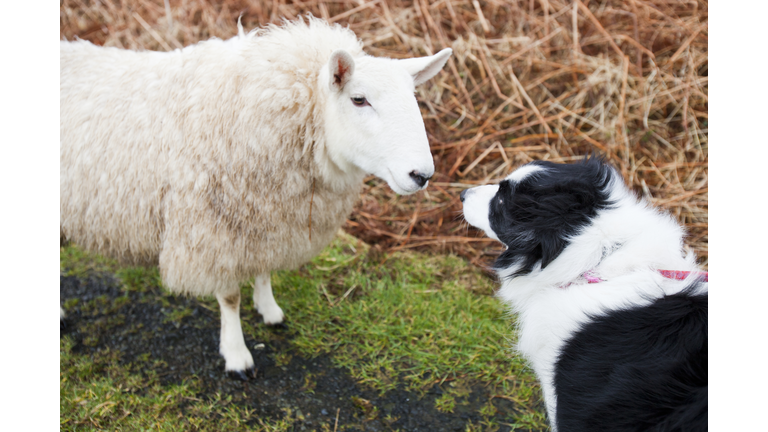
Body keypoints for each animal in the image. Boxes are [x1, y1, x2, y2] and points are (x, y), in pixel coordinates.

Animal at [63, 16, 452, 378]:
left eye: (413, 98)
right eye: (359, 99)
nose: (422, 175)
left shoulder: (266, 214)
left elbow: (264, 269)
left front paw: (269, 310)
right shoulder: (214, 231)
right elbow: (229, 297)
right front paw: (236, 355)